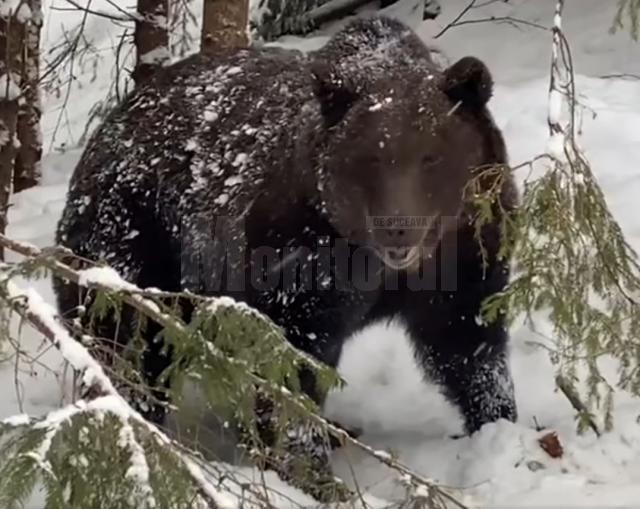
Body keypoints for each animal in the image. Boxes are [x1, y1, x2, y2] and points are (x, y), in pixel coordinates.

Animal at [53, 14, 516, 500]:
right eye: (369, 158)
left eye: (431, 156)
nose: (398, 227)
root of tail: (113, 121)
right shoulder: (299, 260)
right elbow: (293, 367)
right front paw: (314, 473)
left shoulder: (467, 246)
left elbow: (467, 341)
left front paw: (497, 423)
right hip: (135, 234)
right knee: (125, 335)